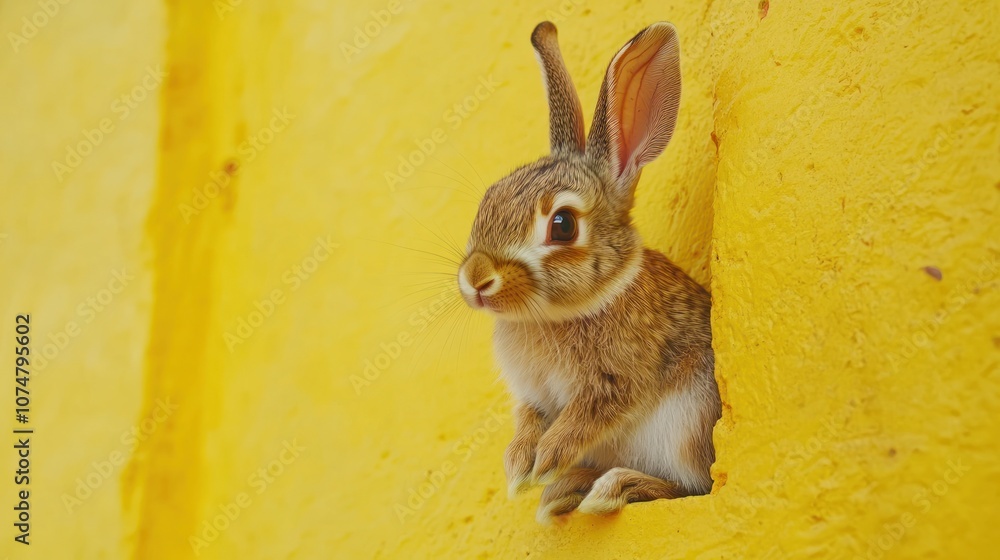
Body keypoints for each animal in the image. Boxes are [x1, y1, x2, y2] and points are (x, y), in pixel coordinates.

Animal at [456, 21, 721, 522]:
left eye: (562, 225)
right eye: (487, 201)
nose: (476, 280)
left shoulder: (614, 384)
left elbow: (580, 421)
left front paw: (544, 463)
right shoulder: (532, 397)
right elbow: (527, 422)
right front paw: (518, 468)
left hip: (688, 424)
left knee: (692, 486)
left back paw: (611, 487)